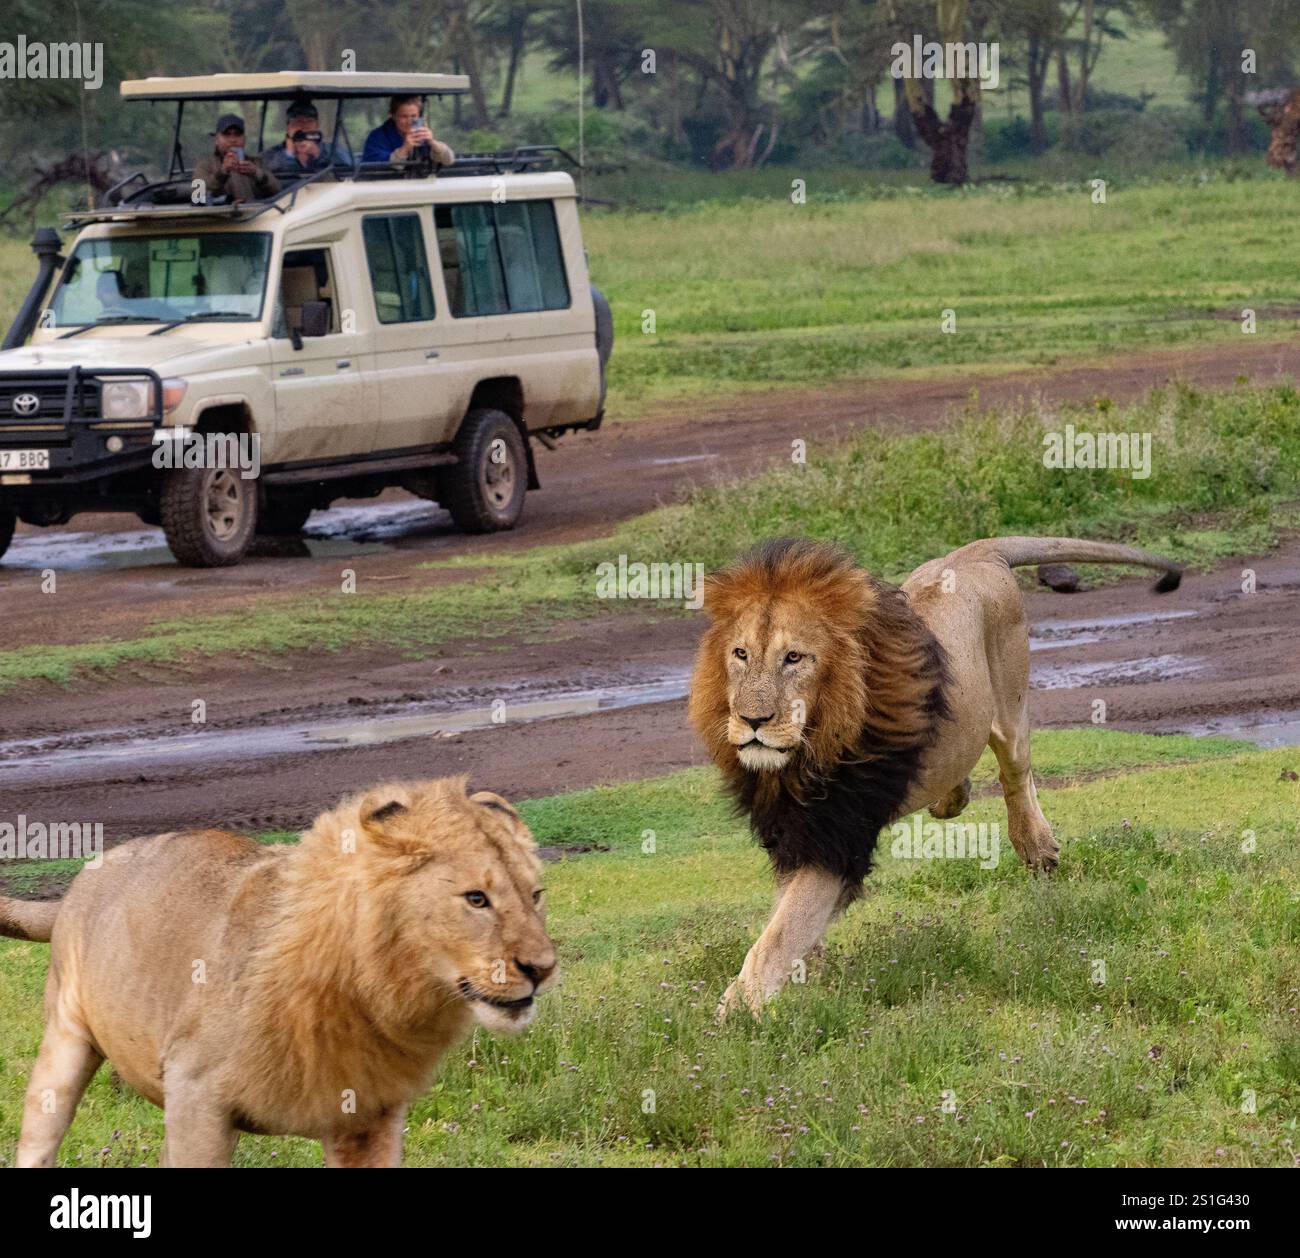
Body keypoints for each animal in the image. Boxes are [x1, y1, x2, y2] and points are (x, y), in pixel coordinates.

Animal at [0, 776, 557, 1168]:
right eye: (476, 899)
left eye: (535, 896)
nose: (543, 969)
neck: (377, 990)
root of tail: (85, 874)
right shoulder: (197, 1096)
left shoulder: (367, 1118)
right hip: (65, 1044)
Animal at [688, 536, 1181, 1018]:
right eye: (740, 655)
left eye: (794, 658)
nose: (752, 720)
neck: (804, 754)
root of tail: (975, 554)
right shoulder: (791, 830)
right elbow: (785, 916)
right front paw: (805, 970)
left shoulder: (838, 836)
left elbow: (779, 933)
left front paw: (737, 1011)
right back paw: (952, 796)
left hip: (1009, 703)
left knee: (1015, 771)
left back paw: (1037, 847)